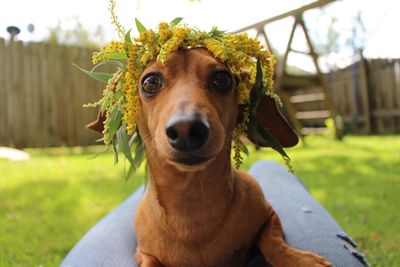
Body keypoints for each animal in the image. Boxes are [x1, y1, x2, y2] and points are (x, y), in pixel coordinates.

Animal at [89, 48, 332, 267]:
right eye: (150, 83)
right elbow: (151, 263)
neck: (192, 207)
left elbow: (271, 242)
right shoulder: (144, 252)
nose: (186, 129)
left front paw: (301, 260)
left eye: (222, 79)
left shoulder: (268, 215)